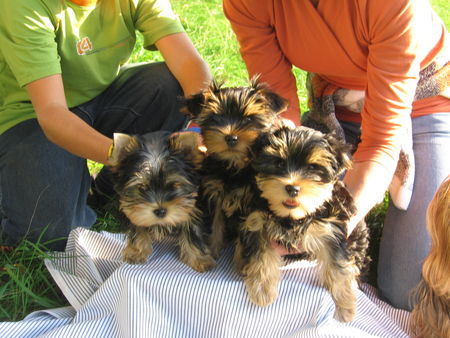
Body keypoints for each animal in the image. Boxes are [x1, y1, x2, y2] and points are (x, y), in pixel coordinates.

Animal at [108, 129, 215, 272]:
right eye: (142, 187)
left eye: (174, 185)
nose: (160, 211)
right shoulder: (131, 209)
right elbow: (137, 225)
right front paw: (136, 251)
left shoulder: (192, 207)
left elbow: (193, 230)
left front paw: (200, 259)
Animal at [183, 79, 288, 258]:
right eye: (215, 118)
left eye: (249, 119)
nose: (231, 137)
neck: (234, 165)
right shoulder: (215, 195)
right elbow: (216, 224)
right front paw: (213, 250)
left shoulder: (251, 203)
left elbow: (245, 234)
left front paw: (240, 259)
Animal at [236, 126, 370, 322]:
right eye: (279, 163)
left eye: (313, 167)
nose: (292, 188)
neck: (291, 217)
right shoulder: (256, 222)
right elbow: (260, 256)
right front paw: (262, 291)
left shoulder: (330, 230)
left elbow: (338, 266)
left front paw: (345, 305)